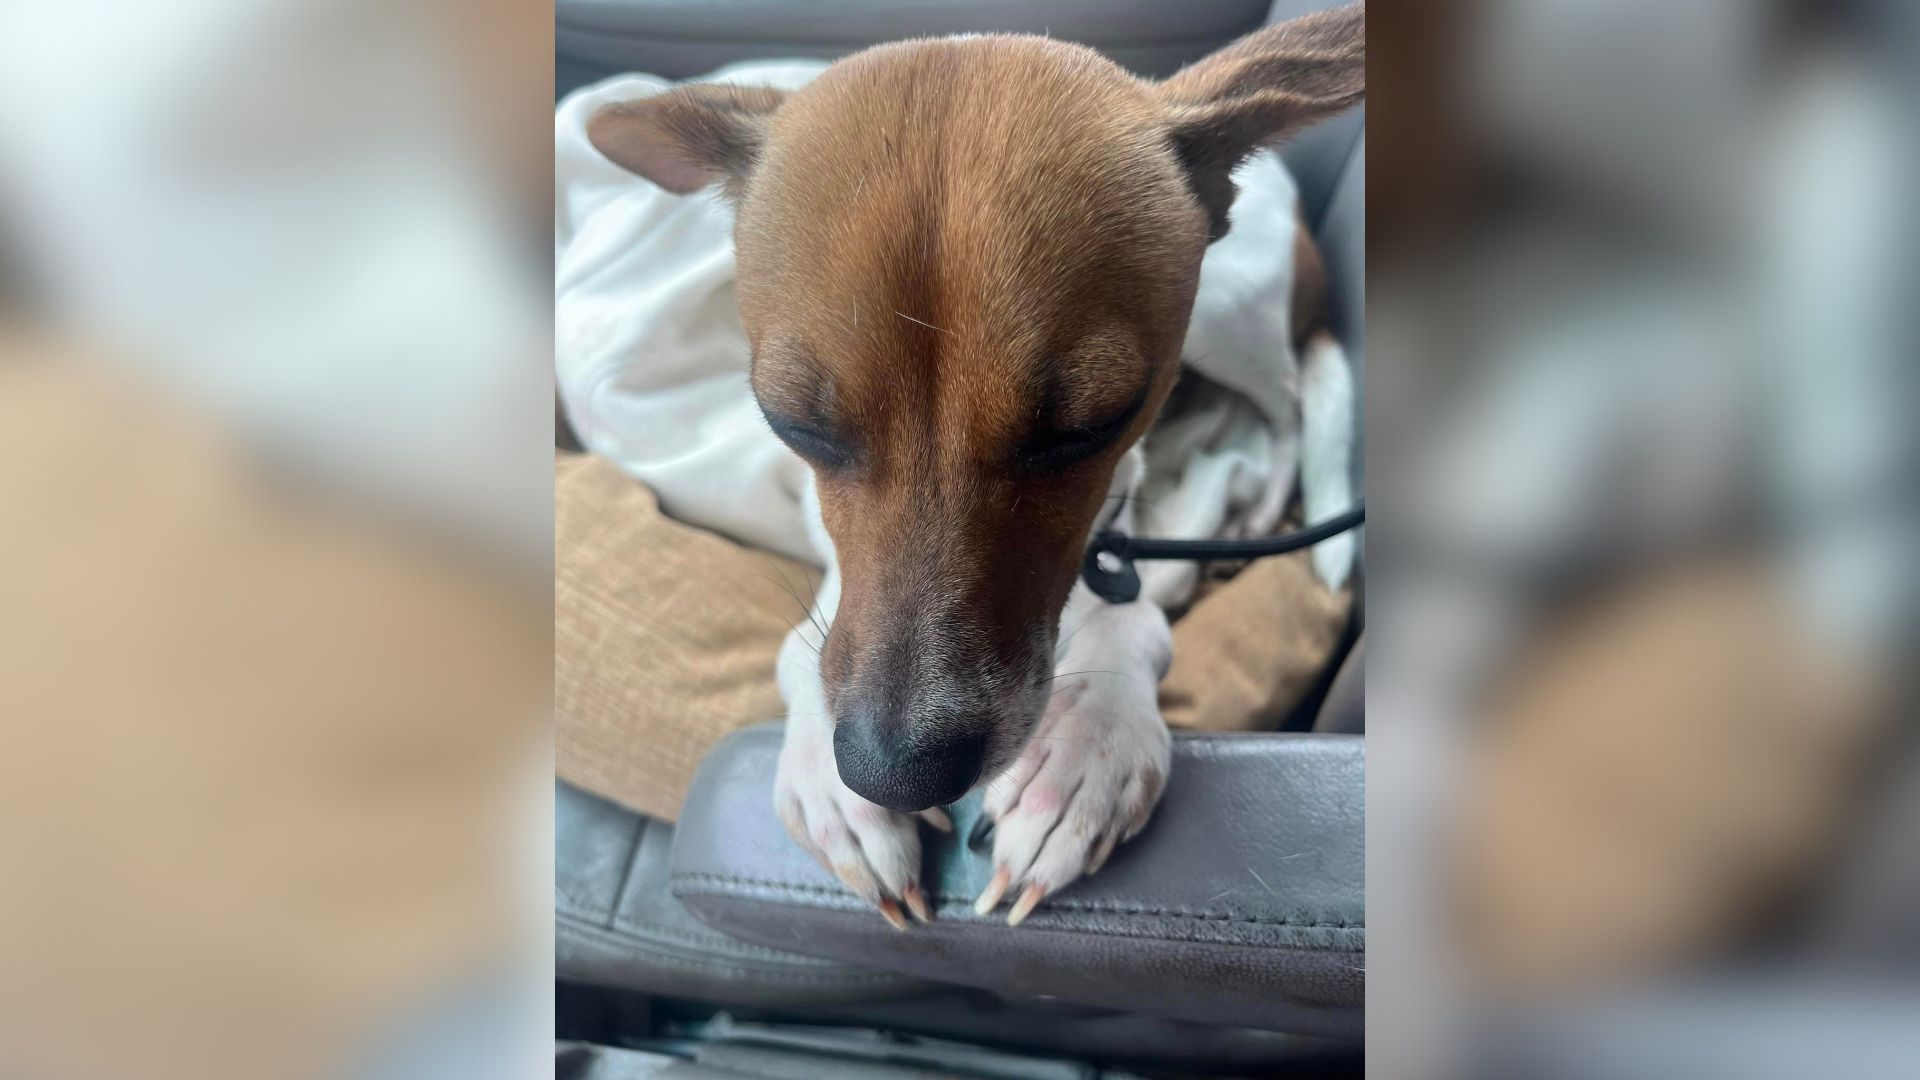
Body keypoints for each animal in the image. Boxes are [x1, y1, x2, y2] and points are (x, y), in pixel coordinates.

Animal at [587, 4, 1367, 922]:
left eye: (1088, 427)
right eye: (795, 425)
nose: (894, 774)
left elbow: (1131, 617)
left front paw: (1090, 736)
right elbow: (805, 644)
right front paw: (831, 782)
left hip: (1235, 318)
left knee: (1285, 411)